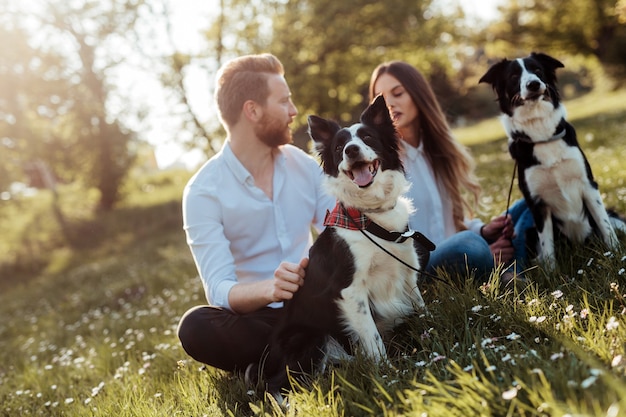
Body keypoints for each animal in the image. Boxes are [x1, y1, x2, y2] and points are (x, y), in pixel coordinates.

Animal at [246, 95, 432, 396]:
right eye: (338, 147)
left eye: (367, 137)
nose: (351, 150)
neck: (370, 217)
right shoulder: (351, 291)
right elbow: (373, 338)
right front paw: (389, 375)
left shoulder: (407, 274)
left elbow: (422, 309)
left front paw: (432, 334)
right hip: (311, 337)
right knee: (276, 386)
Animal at [478, 52, 620, 268]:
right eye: (513, 76)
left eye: (537, 70)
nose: (534, 84)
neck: (542, 135)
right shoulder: (537, 203)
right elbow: (547, 245)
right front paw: (552, 272)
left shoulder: (588, 185)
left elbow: (605, 226)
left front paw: (616, 254)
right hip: (529, 232)